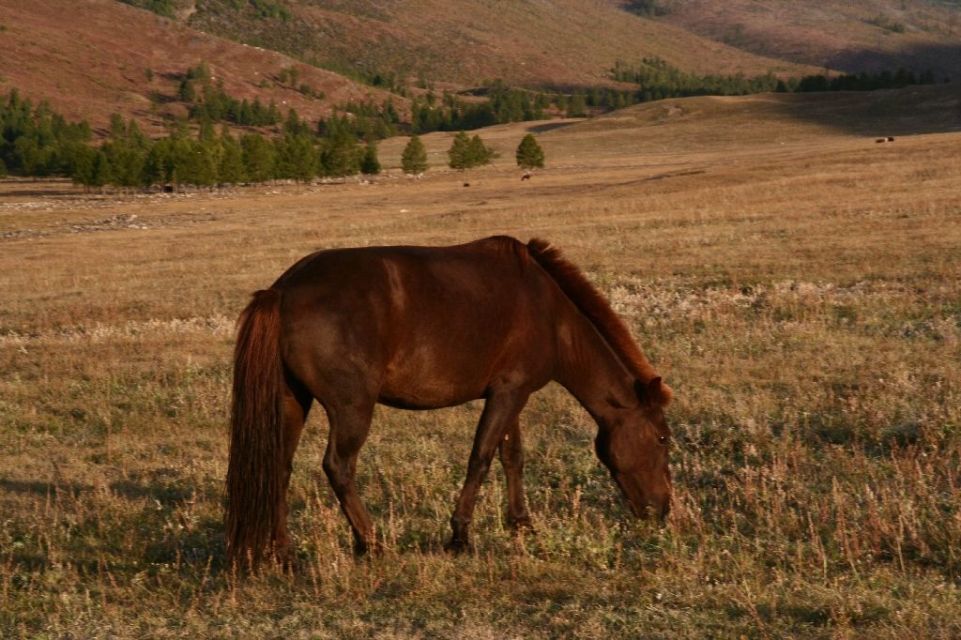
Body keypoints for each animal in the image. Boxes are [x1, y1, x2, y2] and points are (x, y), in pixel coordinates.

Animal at [226, 235, 673, 568]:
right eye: (663, 438)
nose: (663, 510)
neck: (553, 315)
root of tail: (282, 291)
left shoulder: (511, 393)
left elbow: (512, 457)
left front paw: (521, 524)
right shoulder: (509, 393)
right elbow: (481, 458)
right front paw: (460, 535)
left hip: (291, 401)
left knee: (279, 467)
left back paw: (283, 553)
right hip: (352, 409)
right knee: (338, 467)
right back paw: (372, 544)